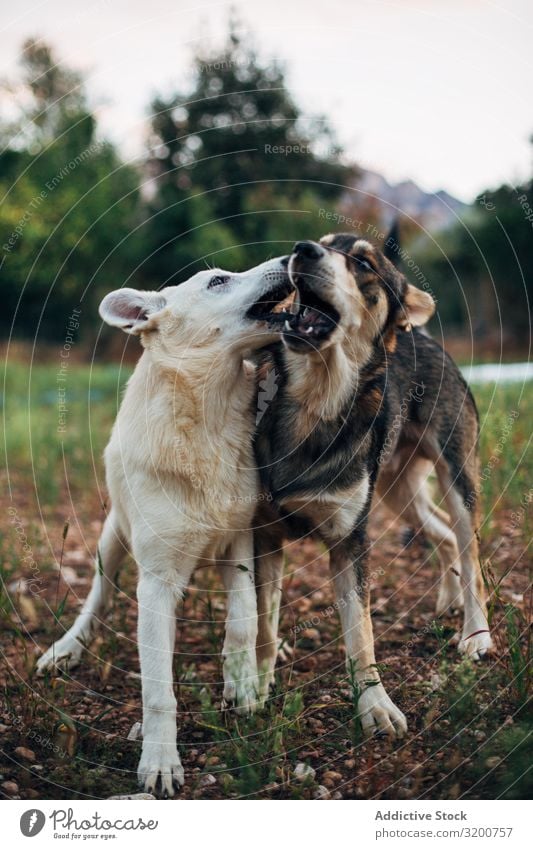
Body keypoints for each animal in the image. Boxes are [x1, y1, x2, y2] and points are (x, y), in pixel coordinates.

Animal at [38, 258, 290, 796]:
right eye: (218, 281)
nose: (290, 257)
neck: (208, 414)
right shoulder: (155, 582)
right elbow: (159, 690)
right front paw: (160, 762)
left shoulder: (238, 544)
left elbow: (242, 620)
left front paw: (242, 686)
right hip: (112, 540)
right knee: (96, 599)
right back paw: (67, 648)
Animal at [252, 232, 490, 736]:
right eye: (323, 244)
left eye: (363, 263)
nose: (301, 249)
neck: (315, 402)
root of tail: (420, 335)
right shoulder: (264, 534)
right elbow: (263, 624)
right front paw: (254, 688)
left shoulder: (351, 539)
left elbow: (361, 633)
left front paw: (375, 706)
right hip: (398, 492)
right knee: (442, 534)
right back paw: (448, 599)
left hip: (457, 476)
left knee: (469, 548)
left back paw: (476, 633)